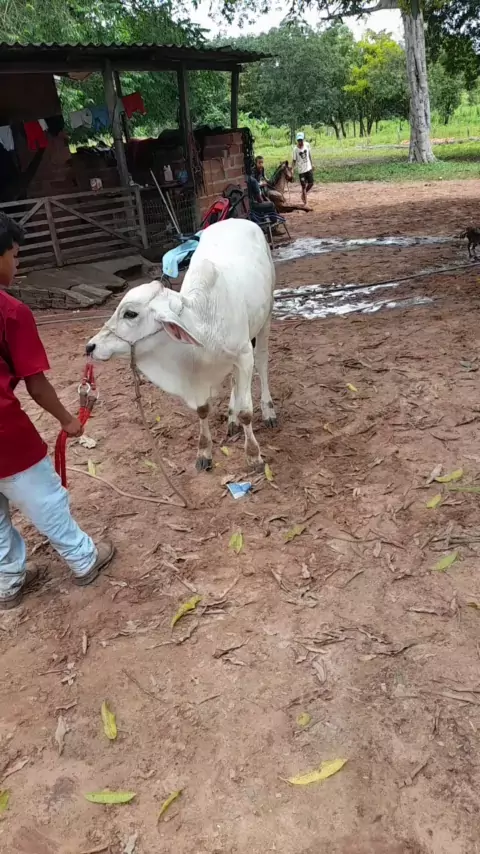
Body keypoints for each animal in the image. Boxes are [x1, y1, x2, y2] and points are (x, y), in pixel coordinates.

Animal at [86, 218, 277, 472]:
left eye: (130, 313)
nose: (90, 347)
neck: (204, 325)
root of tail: (237, 220)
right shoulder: (201, 372)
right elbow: (203, 409)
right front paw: (204, 452)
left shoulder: (244, 355)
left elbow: (247, 411)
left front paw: (254, 455)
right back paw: (231, 417)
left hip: (266, 317)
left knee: (263, 363)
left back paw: (268, 411)